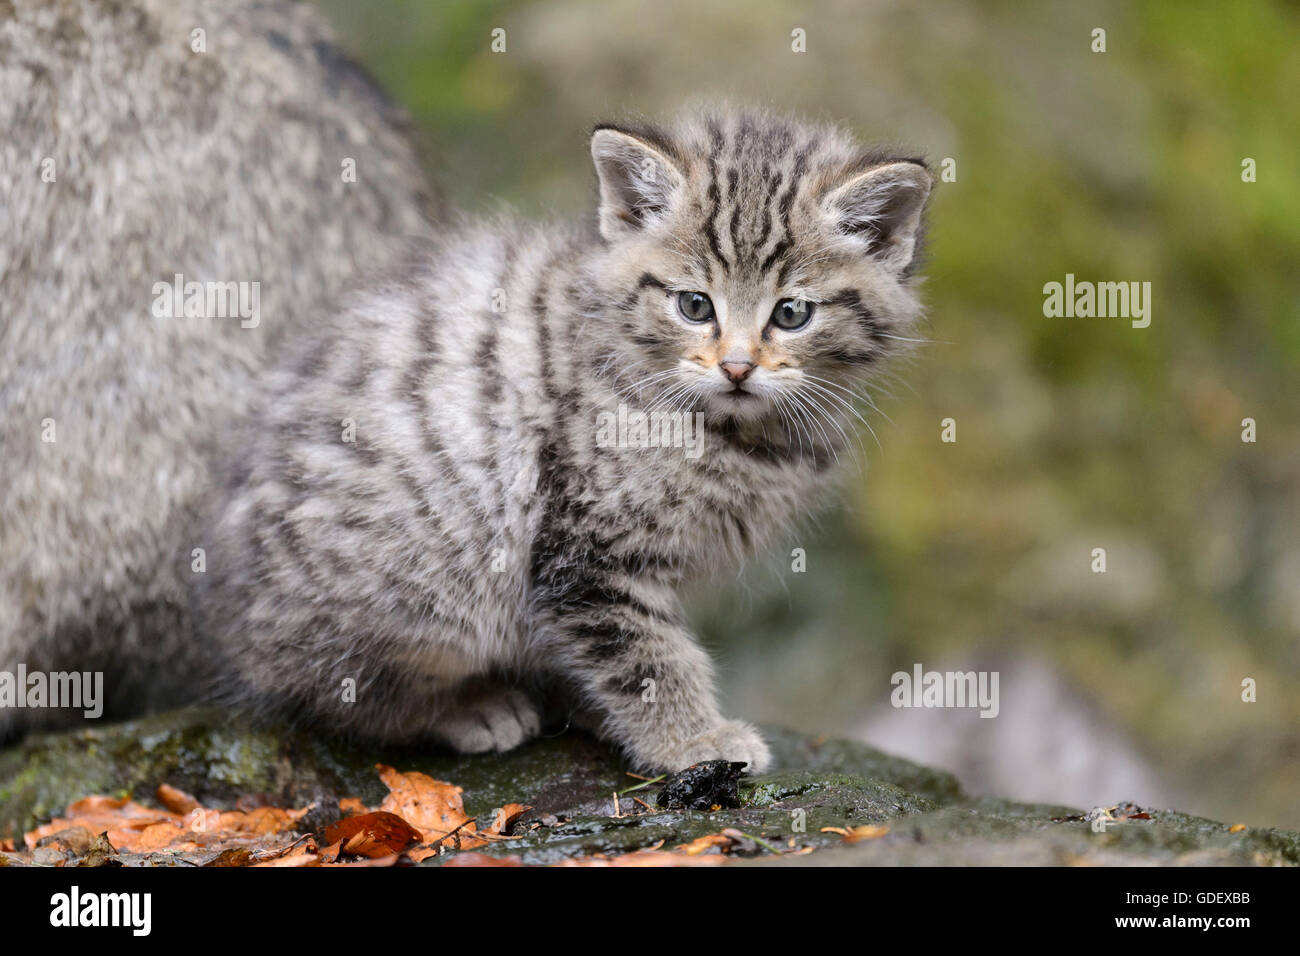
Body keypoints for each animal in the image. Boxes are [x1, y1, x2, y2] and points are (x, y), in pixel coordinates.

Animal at [200, 108, 935, 775]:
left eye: (792, 314)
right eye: (695, 305)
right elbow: (643, 654)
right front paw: (694, 740)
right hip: (421, 581)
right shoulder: (585, 550)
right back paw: (468, 707)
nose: (736, 367)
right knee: (336, 692)